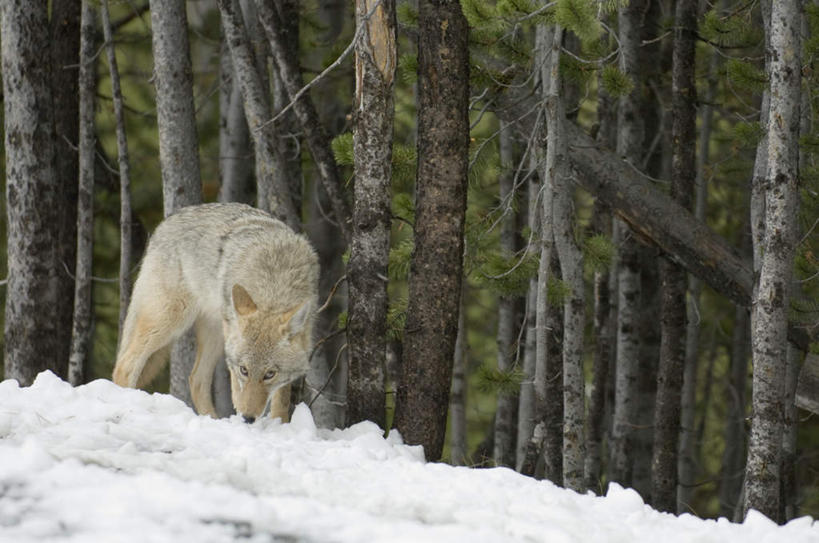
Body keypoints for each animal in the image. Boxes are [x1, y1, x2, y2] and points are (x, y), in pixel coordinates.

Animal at [112, 202, 320, 422]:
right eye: (244, 370)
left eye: (270, 374)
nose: (247, 418)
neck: (274, 281)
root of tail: (163, 225)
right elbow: (236, 389)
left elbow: (281, 399)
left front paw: (279, 423)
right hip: (170, 322)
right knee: (124, 366)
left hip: (214, 334)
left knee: (196, 379)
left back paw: (212, 419)